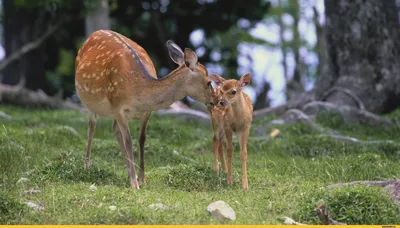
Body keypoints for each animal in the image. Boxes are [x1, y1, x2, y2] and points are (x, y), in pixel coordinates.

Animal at [75, 29, 216, 189]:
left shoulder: (146, 112)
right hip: (89, 101)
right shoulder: (118, 106)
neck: (138, 91)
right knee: (91, 127)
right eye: (208, 82)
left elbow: (142, 139)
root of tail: (95, 33)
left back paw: (128, 171)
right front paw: (134, 184)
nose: (216, 100)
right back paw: (87, 166)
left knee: (114, 129)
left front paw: (141, 179)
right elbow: (129, 141)